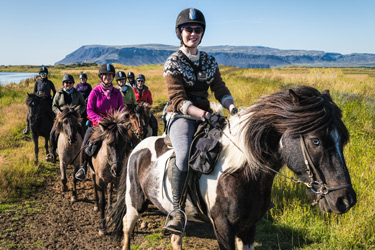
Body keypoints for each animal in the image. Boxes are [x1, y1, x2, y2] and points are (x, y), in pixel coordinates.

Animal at [109, 85, 358, 248]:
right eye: (315, 141)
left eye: (343, 139)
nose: (345, 200)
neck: (240, 174)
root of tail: (138, 146)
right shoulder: (223, 227)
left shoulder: (248, 228)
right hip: (134, 202)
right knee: (127, 226)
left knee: (174, 236)